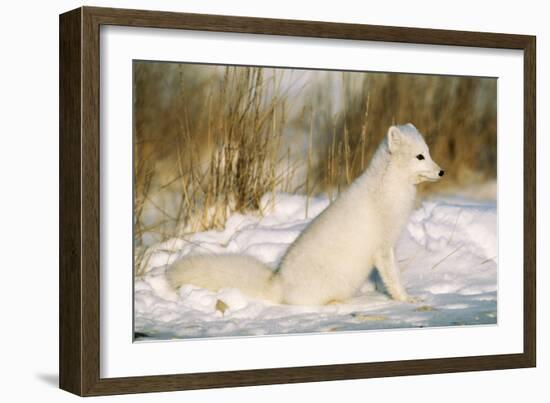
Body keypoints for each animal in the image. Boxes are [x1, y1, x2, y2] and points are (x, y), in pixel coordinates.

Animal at [167, 124, 444, 306]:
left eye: (429, 153)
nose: (442, 172)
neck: (389, 187)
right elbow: (393, 278)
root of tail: (279, 284)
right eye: (420, 156)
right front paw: (406, 299)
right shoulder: (384, 248)